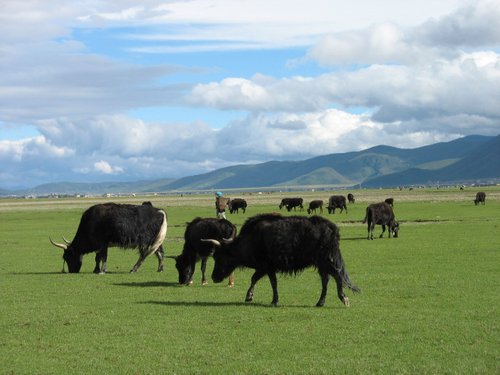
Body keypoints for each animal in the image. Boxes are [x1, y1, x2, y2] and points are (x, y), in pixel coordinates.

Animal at [204, 214, 360, 308]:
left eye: (219, 257)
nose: (214, 277)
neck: (250, 240)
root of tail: (331, 227)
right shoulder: (264, 267)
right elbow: (256, 279)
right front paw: (251, 296)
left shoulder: (267, 266)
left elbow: (269, 282)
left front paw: (271, 300)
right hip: (321, 263)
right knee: (326, 279)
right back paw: (320, 302)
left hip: (325, 260)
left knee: (336, 276)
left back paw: (343, 298)